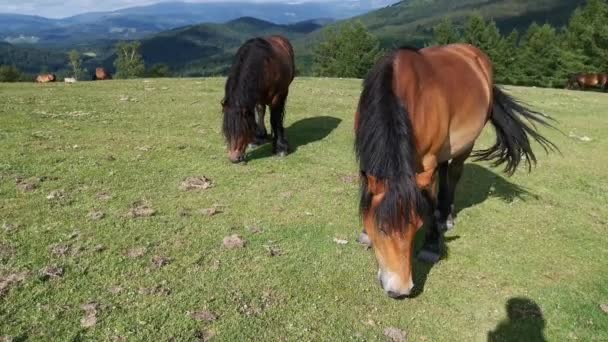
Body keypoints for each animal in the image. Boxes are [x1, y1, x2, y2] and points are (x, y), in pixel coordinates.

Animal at [354, 44, 560, 298]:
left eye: (416, 228)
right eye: (381, 229)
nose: (400, 290)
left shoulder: (428, 163)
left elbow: (431, 201)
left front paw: (432, 245)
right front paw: (365, 233)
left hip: (465, 144)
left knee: (453, 175)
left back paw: (446, 216)